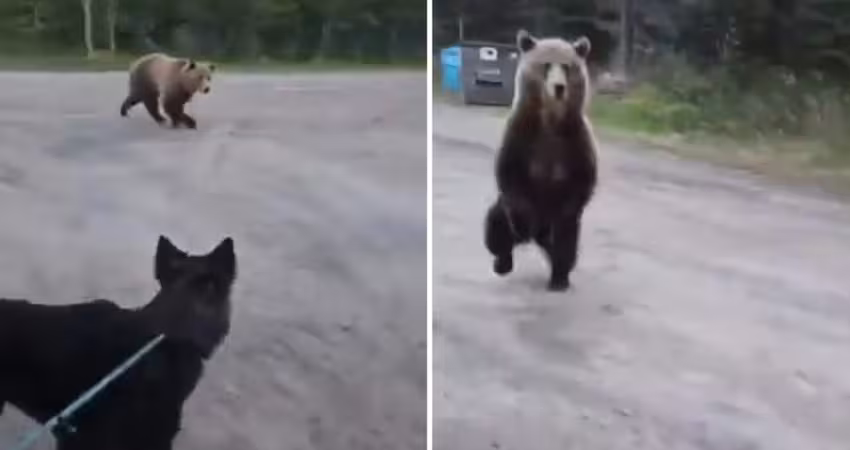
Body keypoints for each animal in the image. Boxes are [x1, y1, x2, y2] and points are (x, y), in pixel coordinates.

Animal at [484, 29, 598, 292]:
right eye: (546, 65)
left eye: (566, 66)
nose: (559, 87)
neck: (550, 121)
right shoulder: (521, 137)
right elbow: (510, 175)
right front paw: (522, 227)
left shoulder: (574, 142)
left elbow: (582, 183)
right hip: (505, 213)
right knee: (496, 225)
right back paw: (503, 262)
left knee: (567, 247)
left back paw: (559, 278)